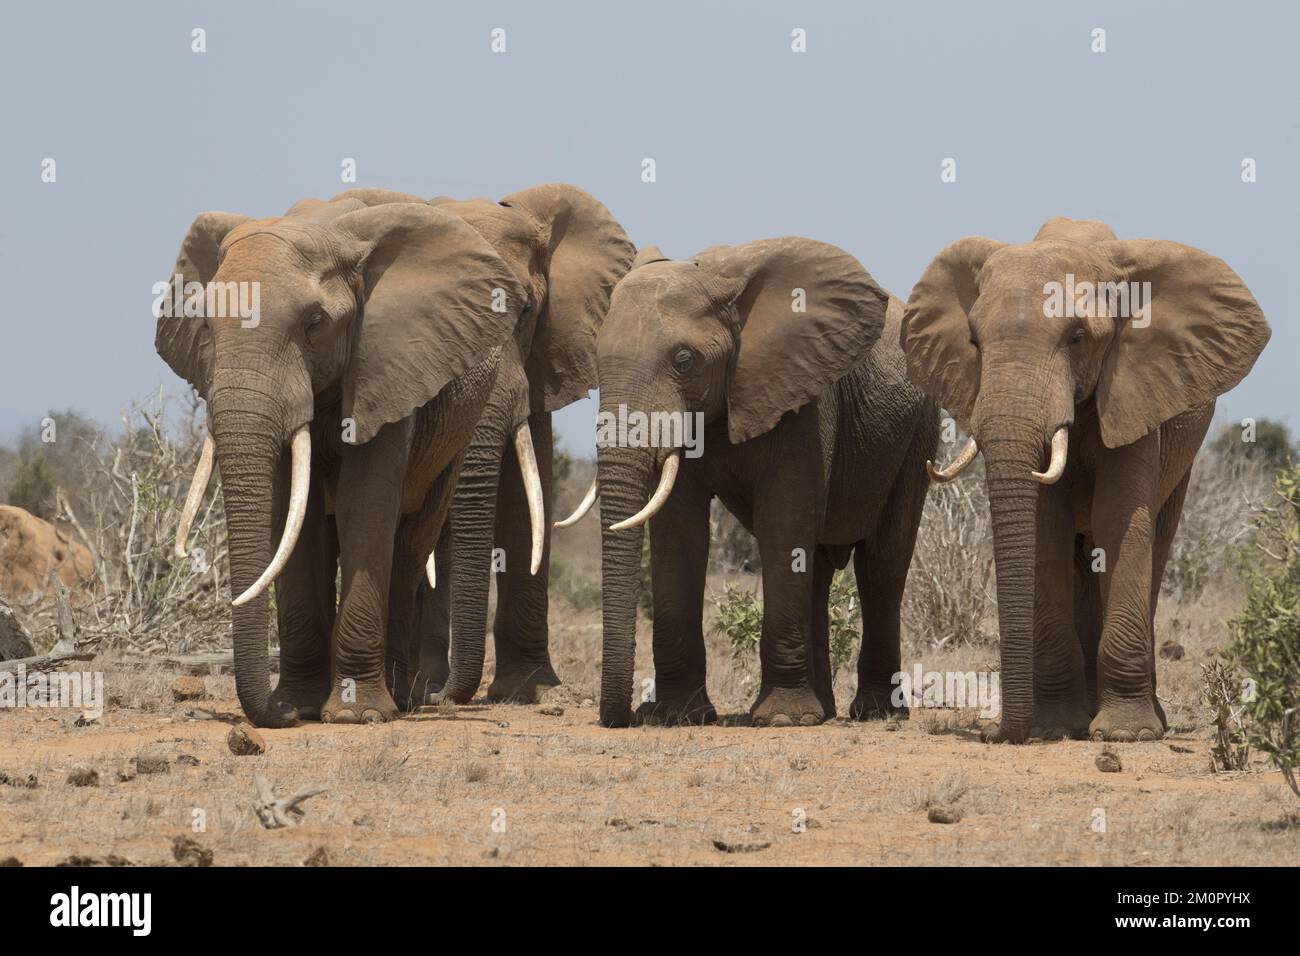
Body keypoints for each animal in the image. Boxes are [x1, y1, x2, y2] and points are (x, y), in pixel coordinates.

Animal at [158, 192, 527, 723]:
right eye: (206, 324)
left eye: (314, 325)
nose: (279, 716)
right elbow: (292, 513)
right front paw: (299, 705)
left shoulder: (390, 365)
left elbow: (366, 502)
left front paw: (357, 714)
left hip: (456, 433)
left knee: (410, 544)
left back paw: (402, 698)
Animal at [579, 238, 935, 723]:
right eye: (595, 360)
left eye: (684, 361)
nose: (627, 716)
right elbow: (680, 532)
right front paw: (677, 716)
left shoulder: (803, 394)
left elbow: (783, 524)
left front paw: (782, 719)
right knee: (818, 568)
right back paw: (822, 710)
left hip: (917, 433)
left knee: (882, 563)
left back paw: (876, 713)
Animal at [904, 218, 1268, 749]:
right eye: (973, 340)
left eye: (1077, 337)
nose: (1000, 736)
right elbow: (1047, 528)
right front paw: (1056, 726)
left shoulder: (1135, 389)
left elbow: (1119, 519)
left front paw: (1127, 735)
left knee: (1154, 544)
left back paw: (1143, 718)